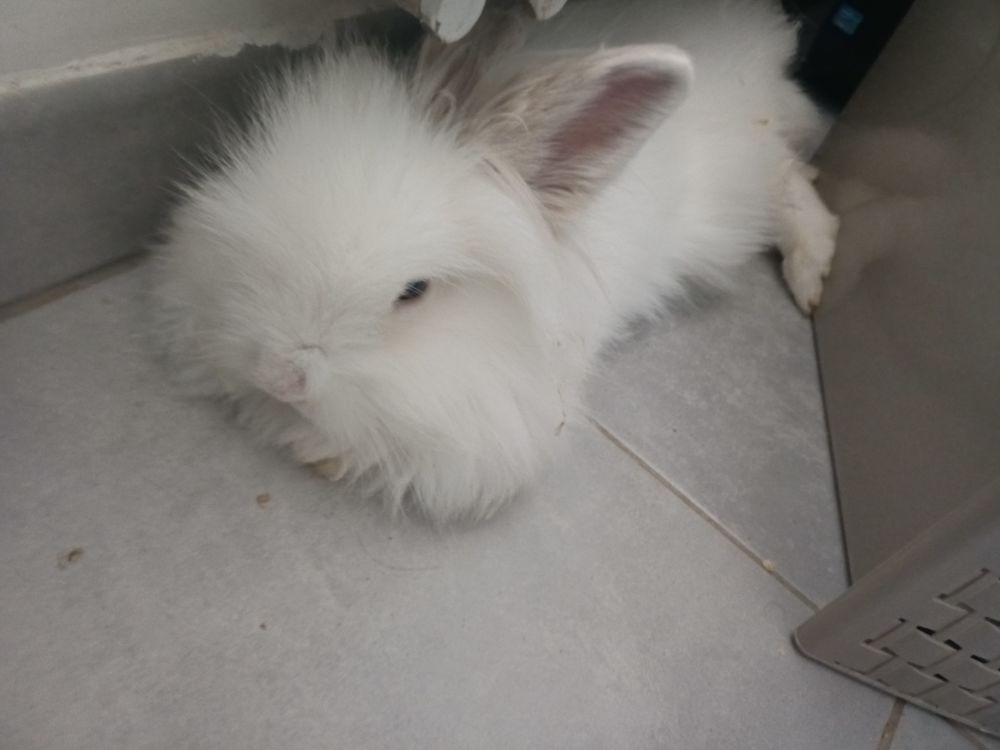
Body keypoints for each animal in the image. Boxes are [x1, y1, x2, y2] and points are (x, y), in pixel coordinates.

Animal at [152, 0, 839, 523]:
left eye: (414, 291)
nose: (281, 378)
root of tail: (756, 38)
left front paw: (314, 445)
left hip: (730, 204)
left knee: (788, 174)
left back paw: (814, 272)